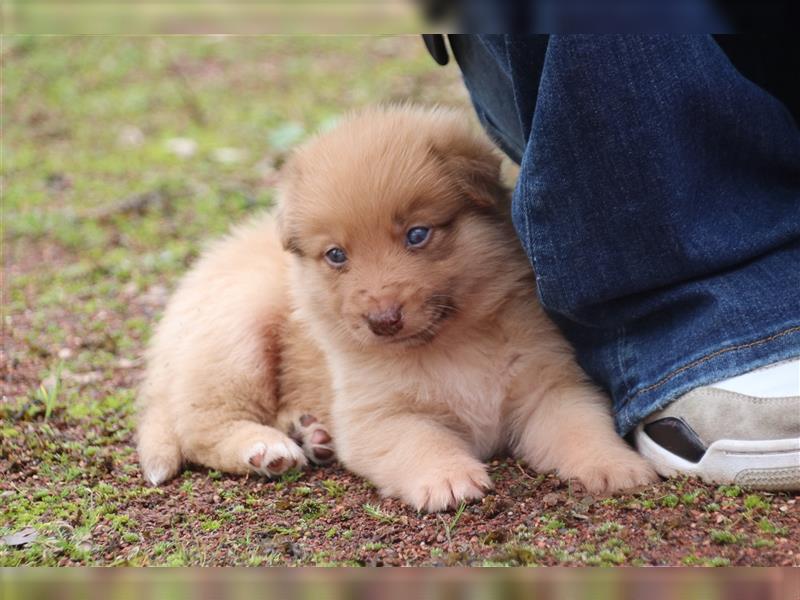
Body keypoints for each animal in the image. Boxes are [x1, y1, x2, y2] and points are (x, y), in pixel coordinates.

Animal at [138, 105, 660, 508]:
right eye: (336, 255)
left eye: (417, 234)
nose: (383, 321)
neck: (453, 344)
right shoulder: (379, 417)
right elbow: (419, 441)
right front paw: (447, 478)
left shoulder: (549, 388)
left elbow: (581, 426)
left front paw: (616, 466)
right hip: (237, 337)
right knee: (198, 425)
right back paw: (266, 447)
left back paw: (313, 433)